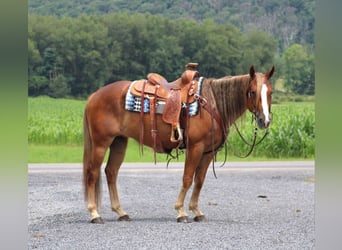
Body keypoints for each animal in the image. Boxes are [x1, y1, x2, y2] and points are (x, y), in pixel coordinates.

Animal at [83, 65, 276, 224]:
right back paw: (94, 214)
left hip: (119, 142)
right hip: (101, 143)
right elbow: (187, 178)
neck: (212, 103)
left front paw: (197, 211)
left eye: (270, 92)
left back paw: (120, 212)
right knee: (92, 173)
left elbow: (199, 180)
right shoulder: (196, 148)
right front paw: (181, 211)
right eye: (252, 91)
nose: (264, 120)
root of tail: (94, 96)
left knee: (111, 172)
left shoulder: (208, 152)